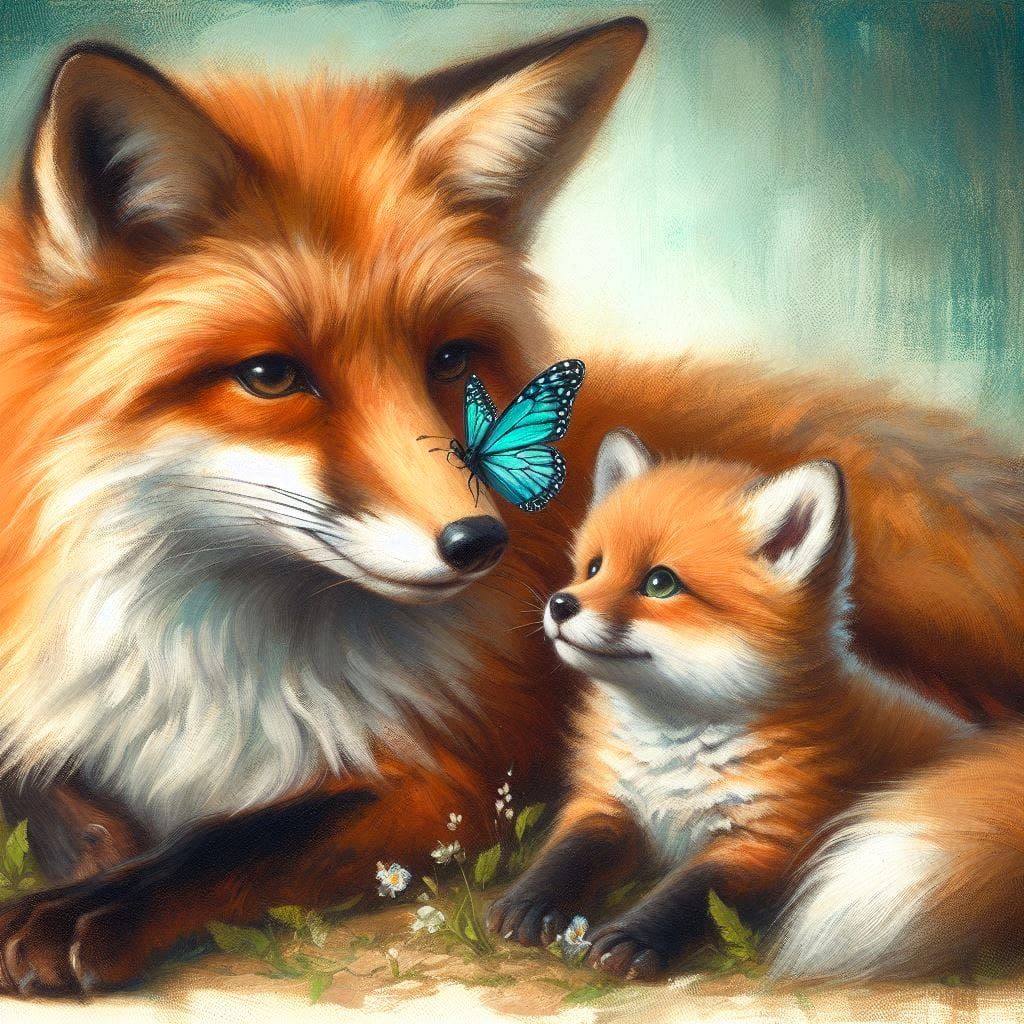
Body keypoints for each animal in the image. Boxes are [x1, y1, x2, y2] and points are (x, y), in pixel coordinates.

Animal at [487, 430, 974, 978]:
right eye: (594, 567)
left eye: (660, 583)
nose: (560, 604)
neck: (671, 750)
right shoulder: (607, 803)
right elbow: (567, 855)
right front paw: (528, 902)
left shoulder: (768, 839)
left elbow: (690, 893)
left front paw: (634, 937)